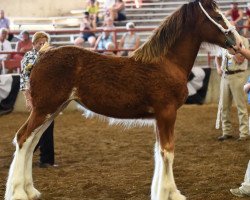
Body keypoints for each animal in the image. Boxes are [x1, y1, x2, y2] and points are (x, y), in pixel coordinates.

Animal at [4, 0, 242, 200]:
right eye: (218, 16)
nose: (239, 43)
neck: (166, 63)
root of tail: (41, 55)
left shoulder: (160, 117)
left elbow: (159, 152)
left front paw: (164, 191)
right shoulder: (167, 114)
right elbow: (168, 152)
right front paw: (170, 194)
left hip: (52, 110)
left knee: (31, 142)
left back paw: (30, 190)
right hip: (44, 109)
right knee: (24, 138)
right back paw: (19, 192)